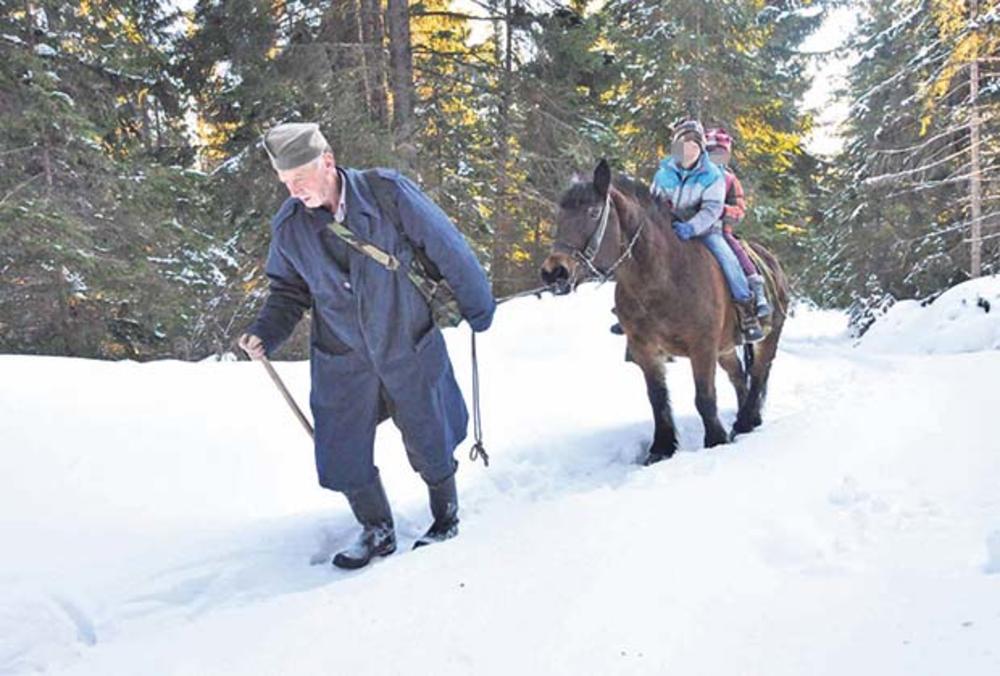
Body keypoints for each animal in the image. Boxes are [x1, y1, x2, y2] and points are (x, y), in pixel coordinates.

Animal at [540, 161, 788, 462]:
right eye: (559, 214)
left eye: (593, 212)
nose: (554, 272)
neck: (662, 276)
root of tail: (773, 263)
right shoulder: (644, 347)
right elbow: (657, 398)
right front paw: (661, 448)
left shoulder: (702, 345)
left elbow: (704, 397)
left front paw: (714, 440)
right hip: (726, 348)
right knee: (739, 376)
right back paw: (744, 420)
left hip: (768, 336)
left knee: (760, 373)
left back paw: (746, 421)